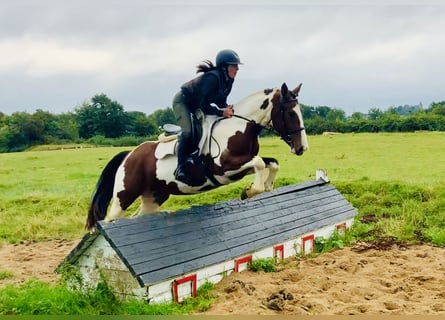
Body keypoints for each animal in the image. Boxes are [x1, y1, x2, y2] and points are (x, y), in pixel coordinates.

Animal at [86, 82, 308, 230]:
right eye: (290, 113)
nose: (302, 148)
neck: (239, 127)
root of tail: (129, 155)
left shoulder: (242, 165)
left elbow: (271, 163)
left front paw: (265, 187)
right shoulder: (224, 168)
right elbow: (260, 163)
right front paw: (251, 191)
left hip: (154, 196)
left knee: (137, 217)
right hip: (124, 196)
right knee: (110, 219)